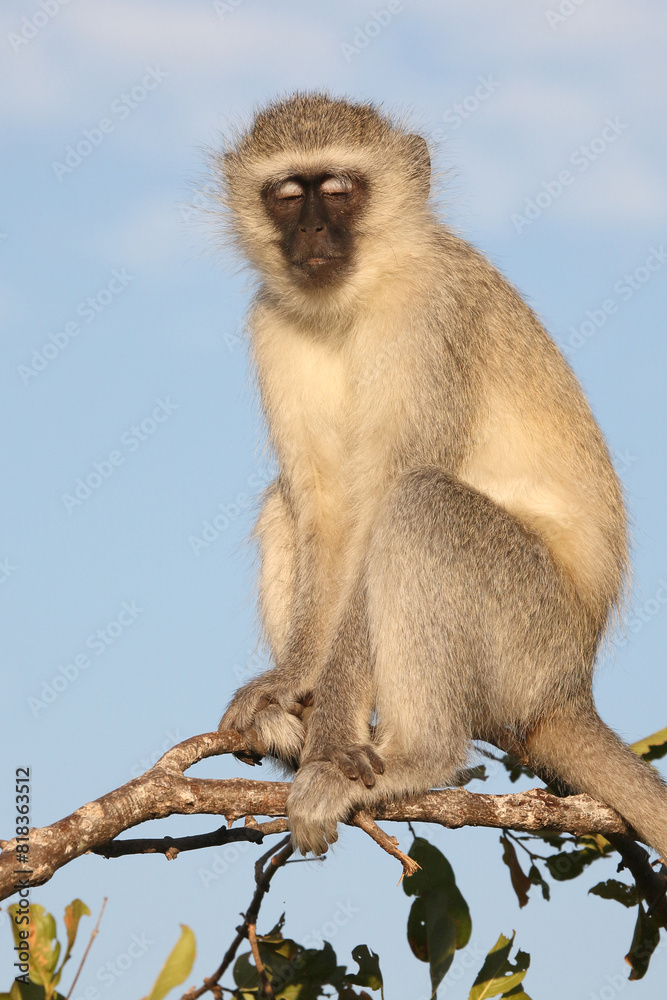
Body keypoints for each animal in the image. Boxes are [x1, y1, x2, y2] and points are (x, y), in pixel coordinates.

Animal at [215, 91, 667, 859]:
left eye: (340, 189)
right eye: (287, 195)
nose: (311, 230)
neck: (354, 297)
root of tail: (571, 686)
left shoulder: (429, 317)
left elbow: (377, 510)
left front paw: (331, 745)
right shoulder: (272, 324)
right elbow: (326, 512)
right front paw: (289, 687)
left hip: (527, 635)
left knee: (421, 505)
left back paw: (412, 758)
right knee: (289, 503)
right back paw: (295, 726)